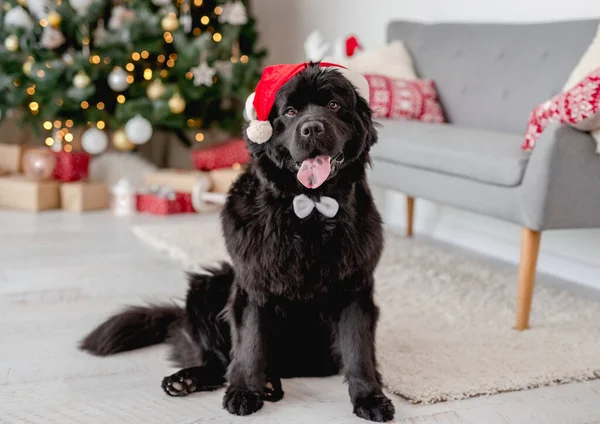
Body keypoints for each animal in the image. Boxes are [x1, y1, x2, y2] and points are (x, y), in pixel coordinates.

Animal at [82, 61, 396, 422]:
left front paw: (370, 397)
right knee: (219, 362)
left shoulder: (355, 288)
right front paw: (245, 390)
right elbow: (249, 344)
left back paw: (268, 383)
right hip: (208, 286)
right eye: (290, 111)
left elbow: (359, 350)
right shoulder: (252, 286)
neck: (310, 210)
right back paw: (191, 380)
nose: (312, 129)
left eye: (333, 105)